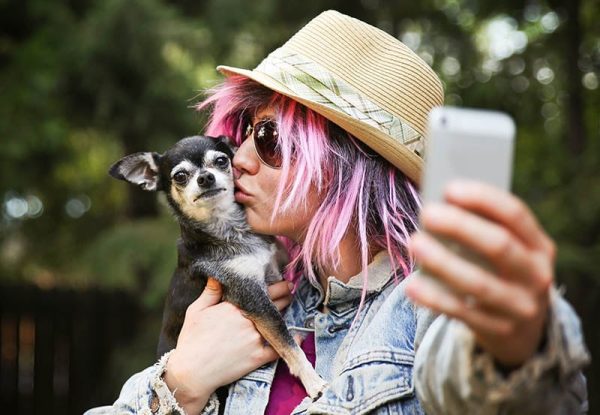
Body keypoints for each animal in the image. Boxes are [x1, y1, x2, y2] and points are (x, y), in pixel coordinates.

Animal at [108, 136, 324, 400]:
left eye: (221, 161)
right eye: (180, 176)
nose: (205, 177)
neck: (231, 231)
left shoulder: (276, 262)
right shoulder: (251, 296)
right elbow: (285, 340)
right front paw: (313, 381)